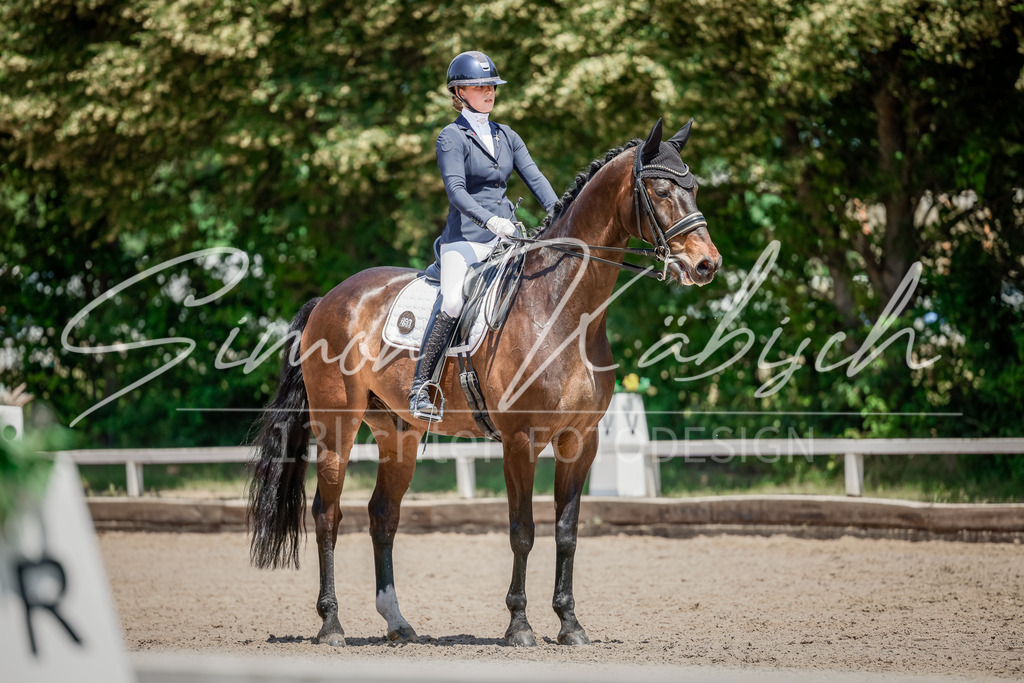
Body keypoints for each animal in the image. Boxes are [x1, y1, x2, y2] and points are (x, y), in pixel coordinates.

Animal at [247, 118, 721, 647]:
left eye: (694, 187)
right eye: (659, 190)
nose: (707, 265)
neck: (562, 308)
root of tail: (330, 298)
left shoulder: (581, 440)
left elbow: (567, 531)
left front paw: (570, 624)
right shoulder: (520, 440)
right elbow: (522, 531)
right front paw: (519, 626)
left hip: (397, 432)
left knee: (383, 515)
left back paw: (398, 624)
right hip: (337, 427)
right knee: (327, 514)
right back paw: (331, 625)